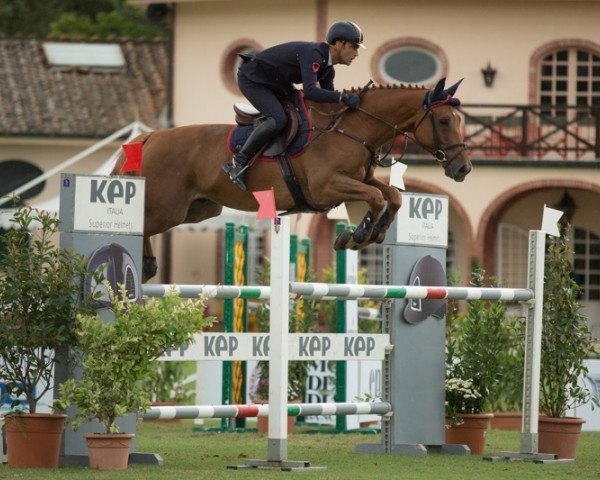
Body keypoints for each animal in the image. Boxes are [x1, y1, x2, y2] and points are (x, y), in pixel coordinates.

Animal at [111, 78, 468, 282]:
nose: (463, 169)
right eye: (445, 121)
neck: (354, 127)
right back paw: (144, 267)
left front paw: (366, 234)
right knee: (141, 223)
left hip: (197, 210)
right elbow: (377, 198)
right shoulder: (326, 186)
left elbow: (391, 197)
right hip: (166, 208)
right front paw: (356, 236)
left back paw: (147, 266)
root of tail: (149, 137)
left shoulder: (359, 179)